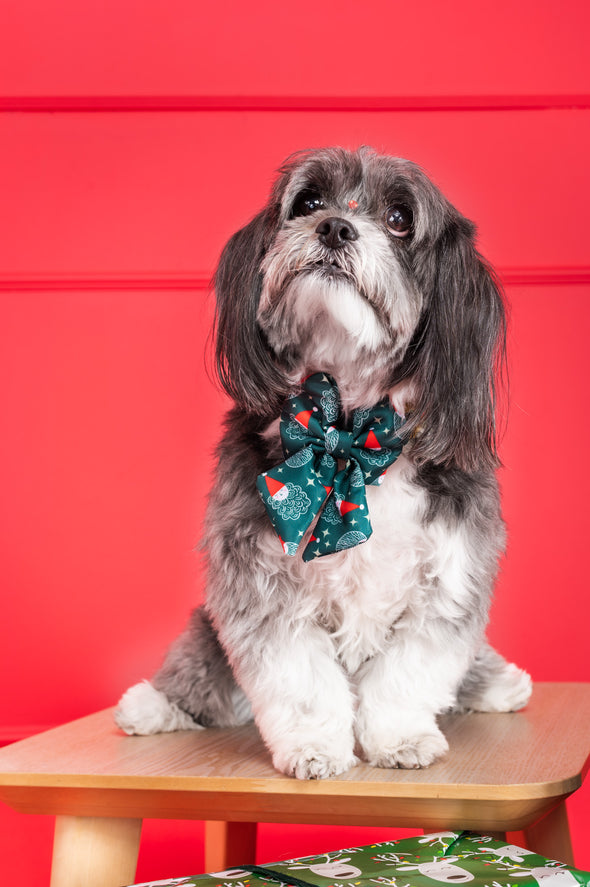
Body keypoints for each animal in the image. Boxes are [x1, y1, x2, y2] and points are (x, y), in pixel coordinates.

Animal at [118, 144, 536, 776]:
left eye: (400, 219)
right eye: (309, 201)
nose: (335, 227)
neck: (347, 433)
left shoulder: (450, 574)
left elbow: (408, 673)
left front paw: (399, 740)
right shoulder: (259, 578)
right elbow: (302, 679)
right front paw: (315, 747)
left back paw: (494, 683)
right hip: (205, 626)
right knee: (204, 666)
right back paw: (155, 704)